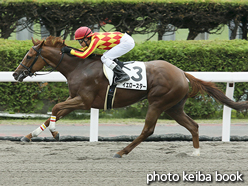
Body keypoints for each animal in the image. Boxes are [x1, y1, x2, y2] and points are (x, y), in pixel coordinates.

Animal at [12, 36, 248, 157]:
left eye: (30, 56)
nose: (15, 74)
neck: (79, 67)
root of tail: (182, 73)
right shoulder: (75, 100)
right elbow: (54, 113)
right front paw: (29, 136)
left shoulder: (84, 101)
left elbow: (54, 109)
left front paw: (55, 133)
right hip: (174, 107)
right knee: (193, 125)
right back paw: (196, 153)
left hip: (158, 102)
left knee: (148, 130)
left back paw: (122, 151)